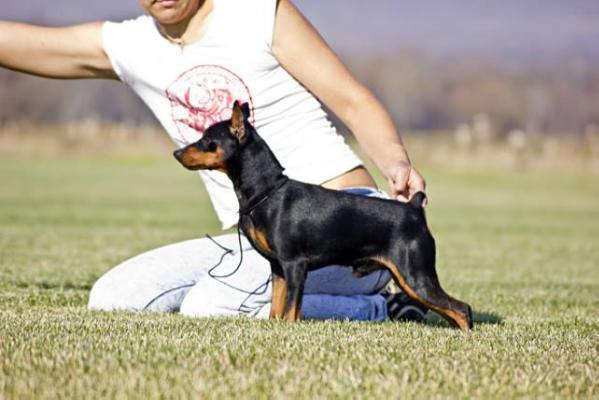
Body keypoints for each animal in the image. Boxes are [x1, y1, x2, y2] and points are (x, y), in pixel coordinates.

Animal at [173, 101, 474, 330]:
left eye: (206, 140)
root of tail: (413, 207)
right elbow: (276, 309)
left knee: (462, 309)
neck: (267, 191)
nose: (176, 152)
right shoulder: (278, 269)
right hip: (407, 277)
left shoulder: (295, 265)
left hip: (415, 276)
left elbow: (291, 310)